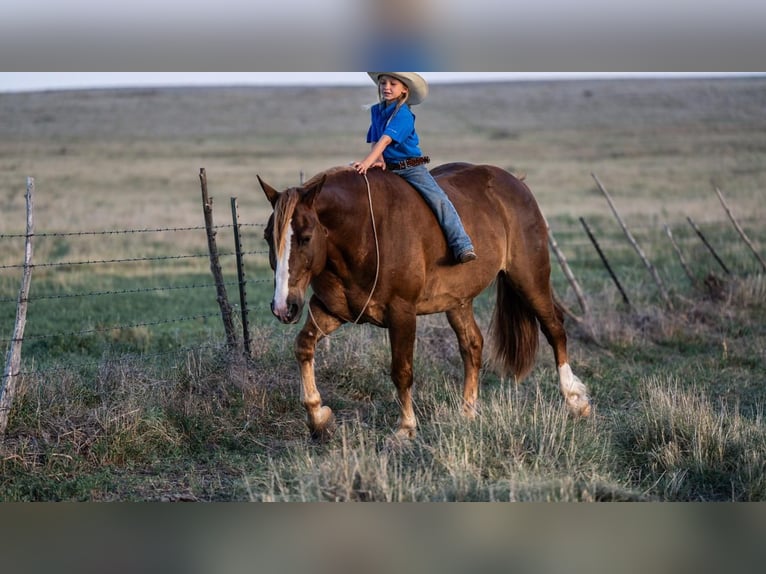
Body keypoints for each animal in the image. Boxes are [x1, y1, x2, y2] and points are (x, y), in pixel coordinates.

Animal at [260, 163, 592, 440]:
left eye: (305, 237)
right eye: (267, 236)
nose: (283, 307)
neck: (363, 233)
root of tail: (517, 184)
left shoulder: (402, 313)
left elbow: (402, 371)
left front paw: (406, 428)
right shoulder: (330, 310)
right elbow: (304, 347)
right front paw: (318, 417)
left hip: (529, 279)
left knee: (554, 329)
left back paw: (575, 400)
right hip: (459, 300)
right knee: (472, 346)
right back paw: (467, 412)